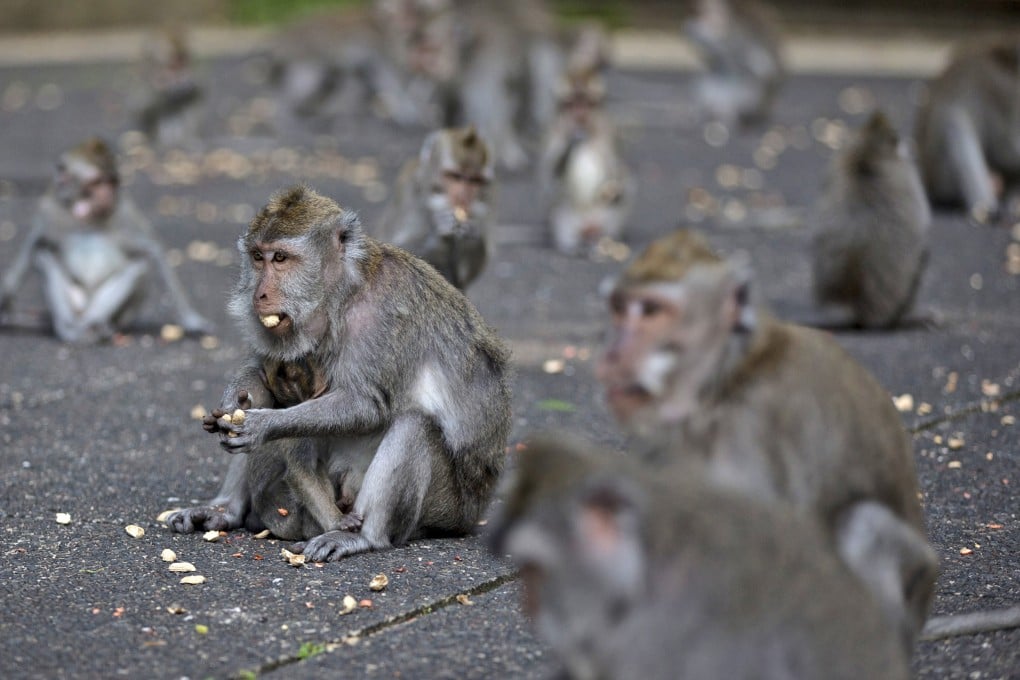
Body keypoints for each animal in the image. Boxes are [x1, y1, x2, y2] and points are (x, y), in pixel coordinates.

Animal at [0, 138, 213, 344]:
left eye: (112, 182)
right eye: (96, 183)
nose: (108, 195)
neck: (86, 218)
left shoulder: (125, 213)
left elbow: (152, 249)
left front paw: (192, 320)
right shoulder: (48, 211)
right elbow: (32, 245)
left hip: (119, 315)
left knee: (139, 267)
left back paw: (95, 325)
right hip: (77, 303)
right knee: (44, 257)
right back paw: (68, 328)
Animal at [164, 186, 512, 562]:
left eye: (280, 259)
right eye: (257, 257)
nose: (260, 294)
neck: (344, 292)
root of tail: (475, 511)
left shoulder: (379, 317)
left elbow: (365, 404)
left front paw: (263, 424)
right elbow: (262, 370)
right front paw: (235, 399)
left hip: (445, 508)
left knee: (414, 427)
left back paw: (363, 537)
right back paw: (225, 511)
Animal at [376, 127, 495, 290]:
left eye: (475, 180)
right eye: (455, 176)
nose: (463, 198)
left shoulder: (490, 200)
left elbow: (467, 276)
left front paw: (471, 237)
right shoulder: (409, 192)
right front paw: (437, 235)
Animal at [538, 66, 634, 256]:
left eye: (586, 104)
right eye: (572, 104)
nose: (579, 115)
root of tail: (588, 224)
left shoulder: (608, 130)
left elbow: (618, 171)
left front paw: (616, 188)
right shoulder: (552, 131)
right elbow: (548, 182)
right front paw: (570, 144)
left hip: (605, 218)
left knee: (620, 201)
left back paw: (603, 242)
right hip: (572, 219)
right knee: (560, 209)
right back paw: (572, 247)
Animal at [595, 229, 938, 653]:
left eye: (653, 311)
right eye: (619, 308)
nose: (612, 353)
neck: (726, 380)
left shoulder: (751, 433)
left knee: (865, 526)